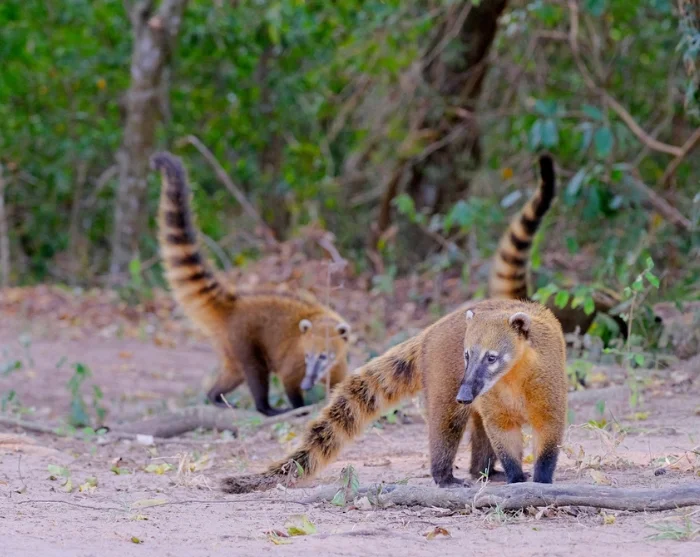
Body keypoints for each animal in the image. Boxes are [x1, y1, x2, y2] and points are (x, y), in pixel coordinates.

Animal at [151, 152, 351, 416]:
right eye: (308, 355)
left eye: (323, 357)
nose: (308, 385)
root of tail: (233, 303)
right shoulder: (294, 358)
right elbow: (289, 381)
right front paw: (299, 405)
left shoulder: (339, 359)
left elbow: (341, 381)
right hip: (243, 341)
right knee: (256, 371)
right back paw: (265, 407)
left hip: (231, 347)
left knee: (233, 372)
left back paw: (215, 395)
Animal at [220, 297, 567, 493]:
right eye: (467, 355)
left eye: (492, 357)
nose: (465, 393)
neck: (512, 375)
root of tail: (430, 331)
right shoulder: (487, 393)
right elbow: (502, 432)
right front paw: (516, 477)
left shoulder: (549, 381)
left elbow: (549, 427)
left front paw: (541, 476)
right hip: (443, 373)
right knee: (448, 421)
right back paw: (446, 476)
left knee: (475, 426)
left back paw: (483, 471)